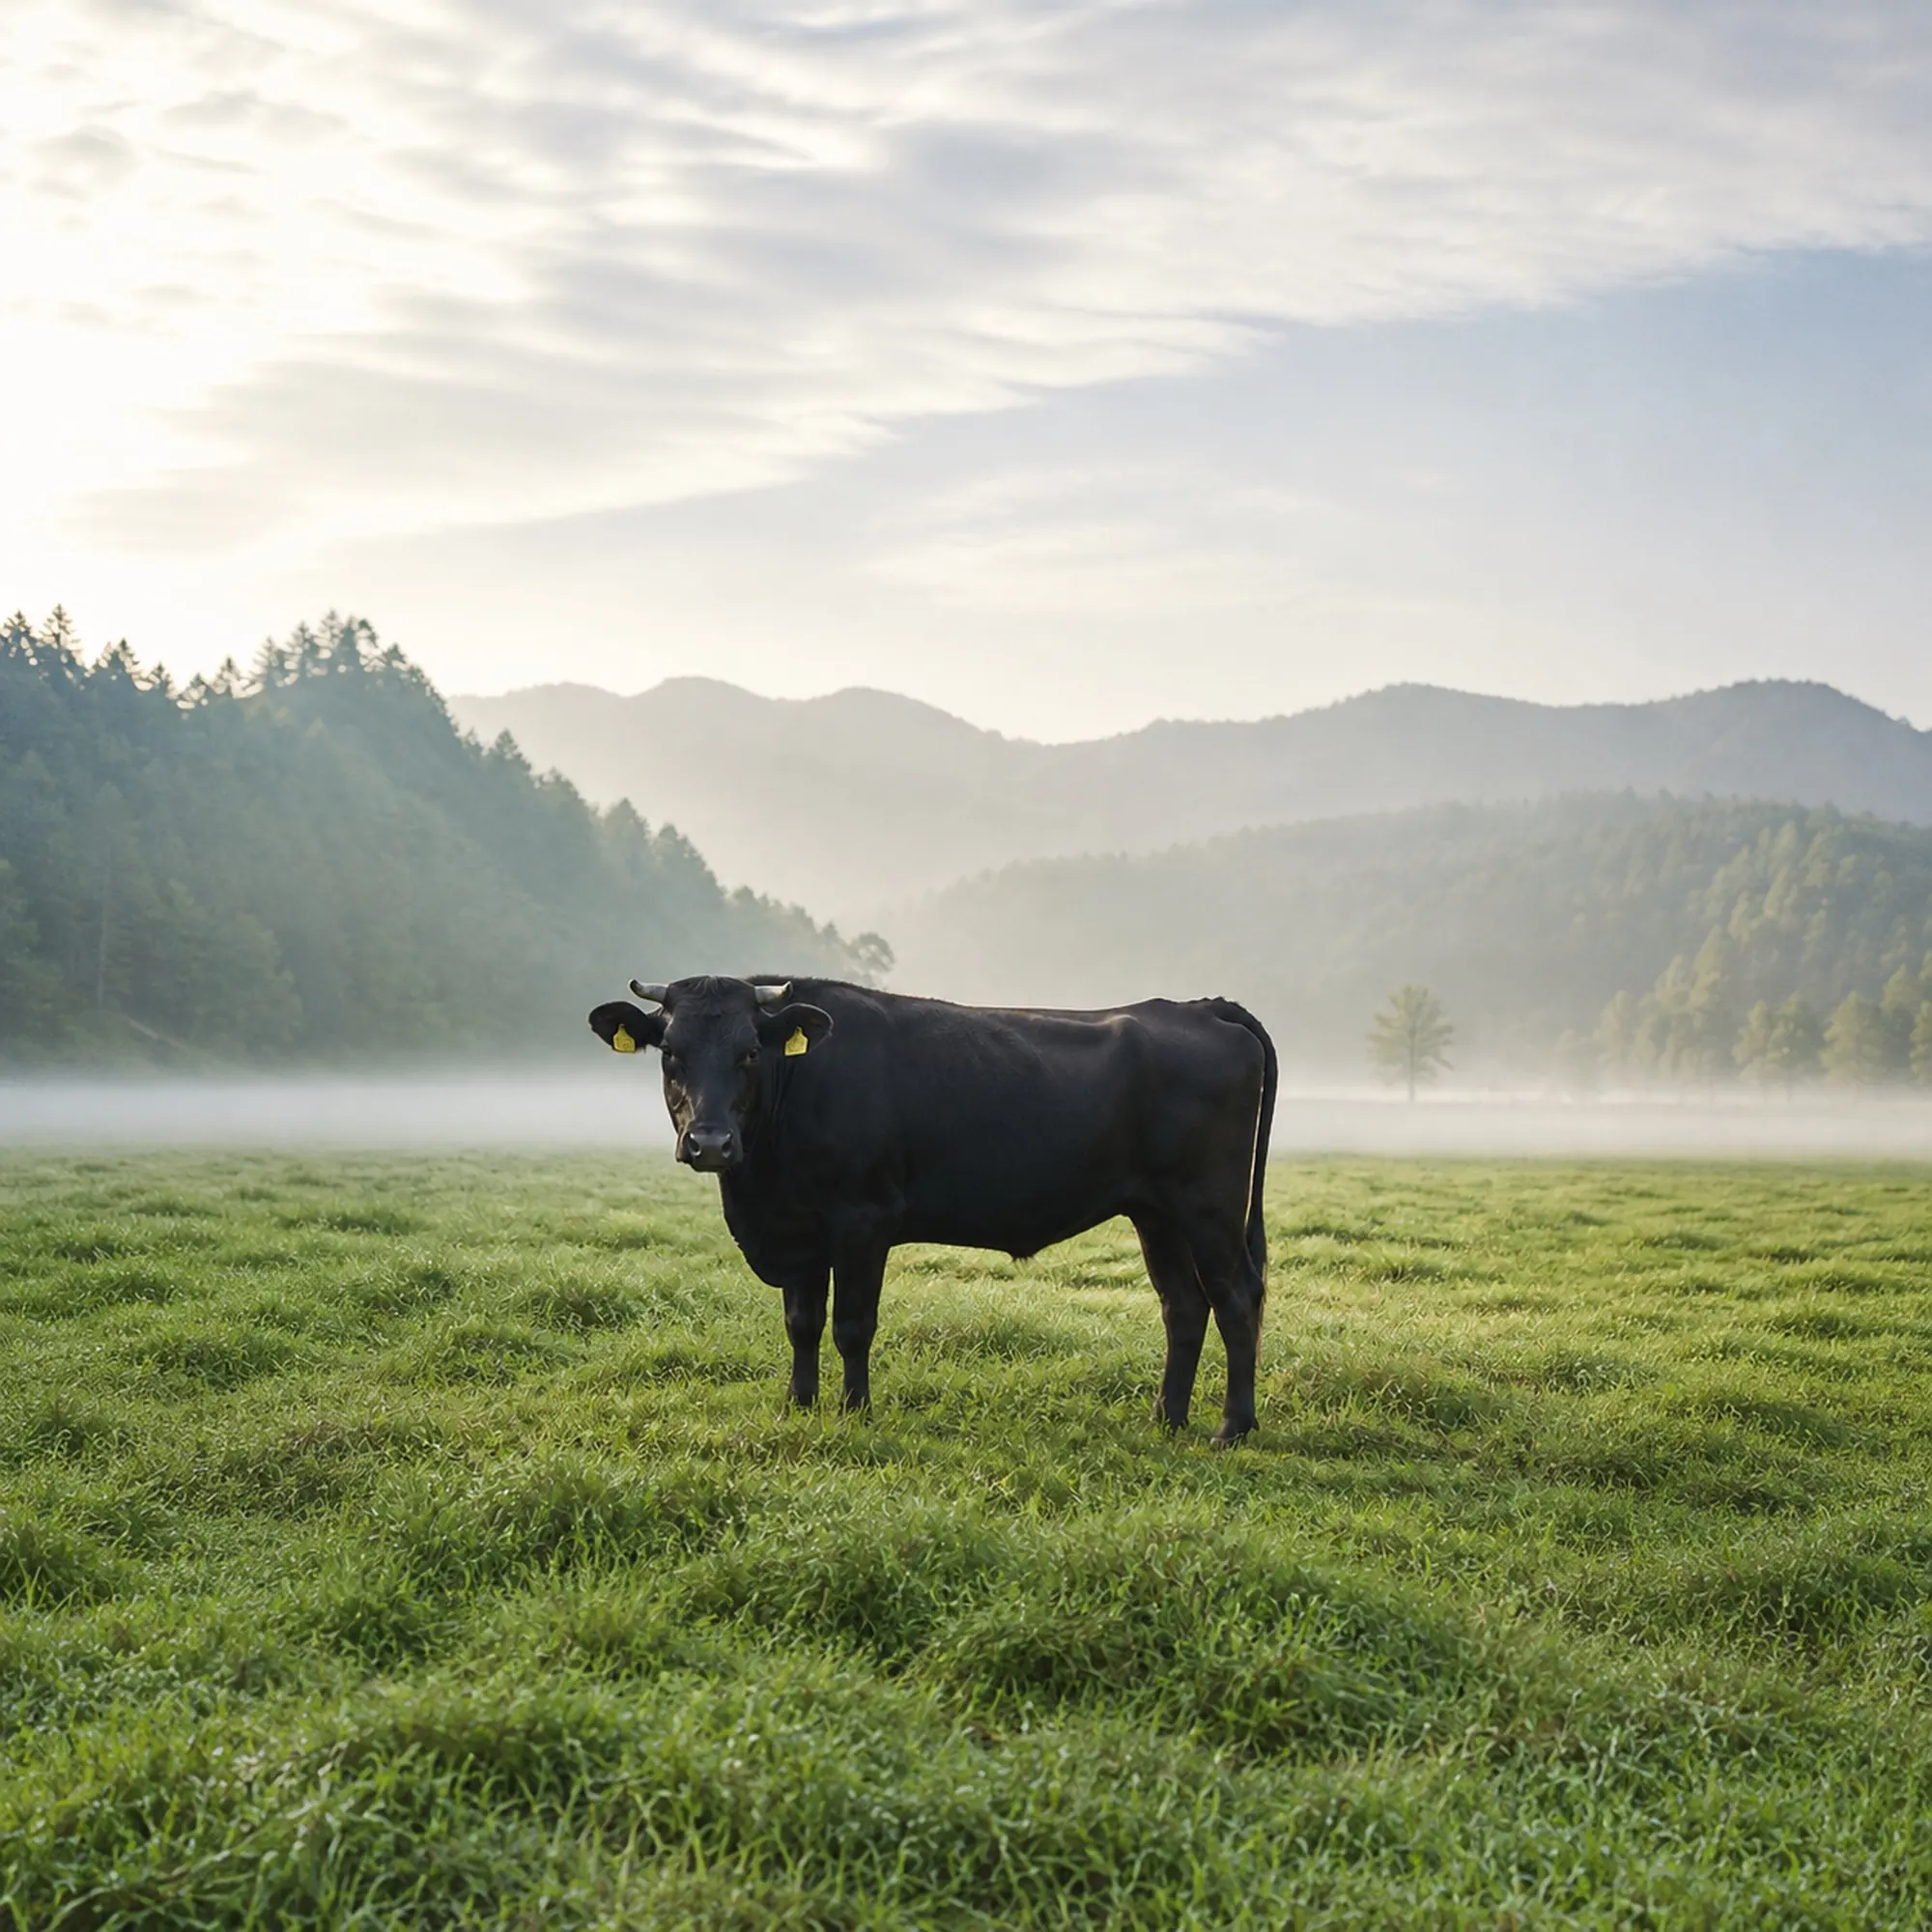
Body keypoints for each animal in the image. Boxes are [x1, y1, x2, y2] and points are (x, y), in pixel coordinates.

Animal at [588, 975, 1276, 1443]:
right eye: (670, 1053)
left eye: (750, 1052)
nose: (709, 1142)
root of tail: (1199, 1007)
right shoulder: (800, 1229)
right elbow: (802, 1324)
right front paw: (798, 1406)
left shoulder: (863, 1220)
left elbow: (851, 1325)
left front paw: (854, 1411)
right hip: (1156, 1213)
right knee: (1183, 1305)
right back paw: (1167, 1417)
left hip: (1209, 1207)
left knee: (1236, 1298)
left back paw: (1231, 1428)